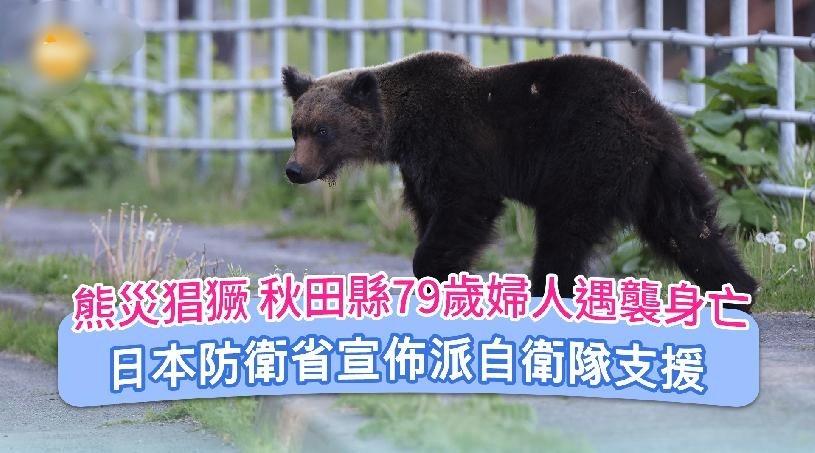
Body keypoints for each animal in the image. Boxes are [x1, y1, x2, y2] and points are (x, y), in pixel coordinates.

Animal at [281, 51, 758, 310]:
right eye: (296, 128)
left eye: (322, 130)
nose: (294, 170)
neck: (402, 129)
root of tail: (648, 114)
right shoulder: (417, 168)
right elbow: (430, 210)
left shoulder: (454, 147)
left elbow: (465, 208)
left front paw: (433, 269)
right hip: (665, 166)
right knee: (687, 225)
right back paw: (738, 288)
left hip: (584, 157)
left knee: (563, 231)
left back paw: (545, 288)